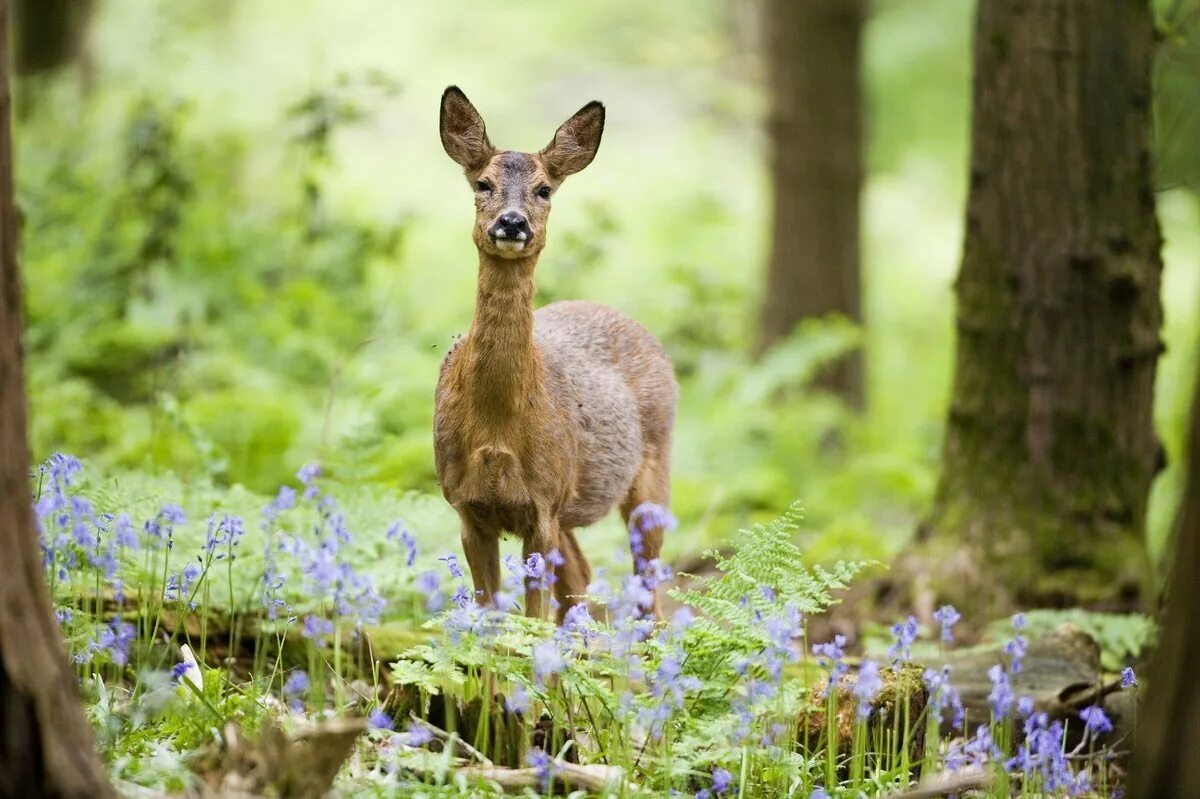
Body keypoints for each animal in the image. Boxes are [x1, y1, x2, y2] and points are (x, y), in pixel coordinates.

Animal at [432, 88, 676, 623]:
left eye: (544, 190)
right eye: (482, 183)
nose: (512, 222)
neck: (496, 426)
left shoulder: (542, 506)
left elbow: (531, 623)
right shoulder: (467, 508)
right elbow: (491, 621)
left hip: (653, 469)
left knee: (649, 593)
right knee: (582, 580)